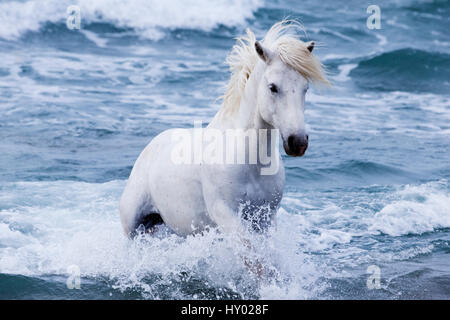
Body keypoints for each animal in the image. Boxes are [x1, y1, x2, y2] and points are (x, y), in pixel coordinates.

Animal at [121, 20, 328, 238]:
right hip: (132, 227)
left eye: (306, 88)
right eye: (273, 87)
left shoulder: (266, 218)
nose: (298, 142)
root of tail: (151, 146)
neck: (251, 163)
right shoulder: (225, 214)